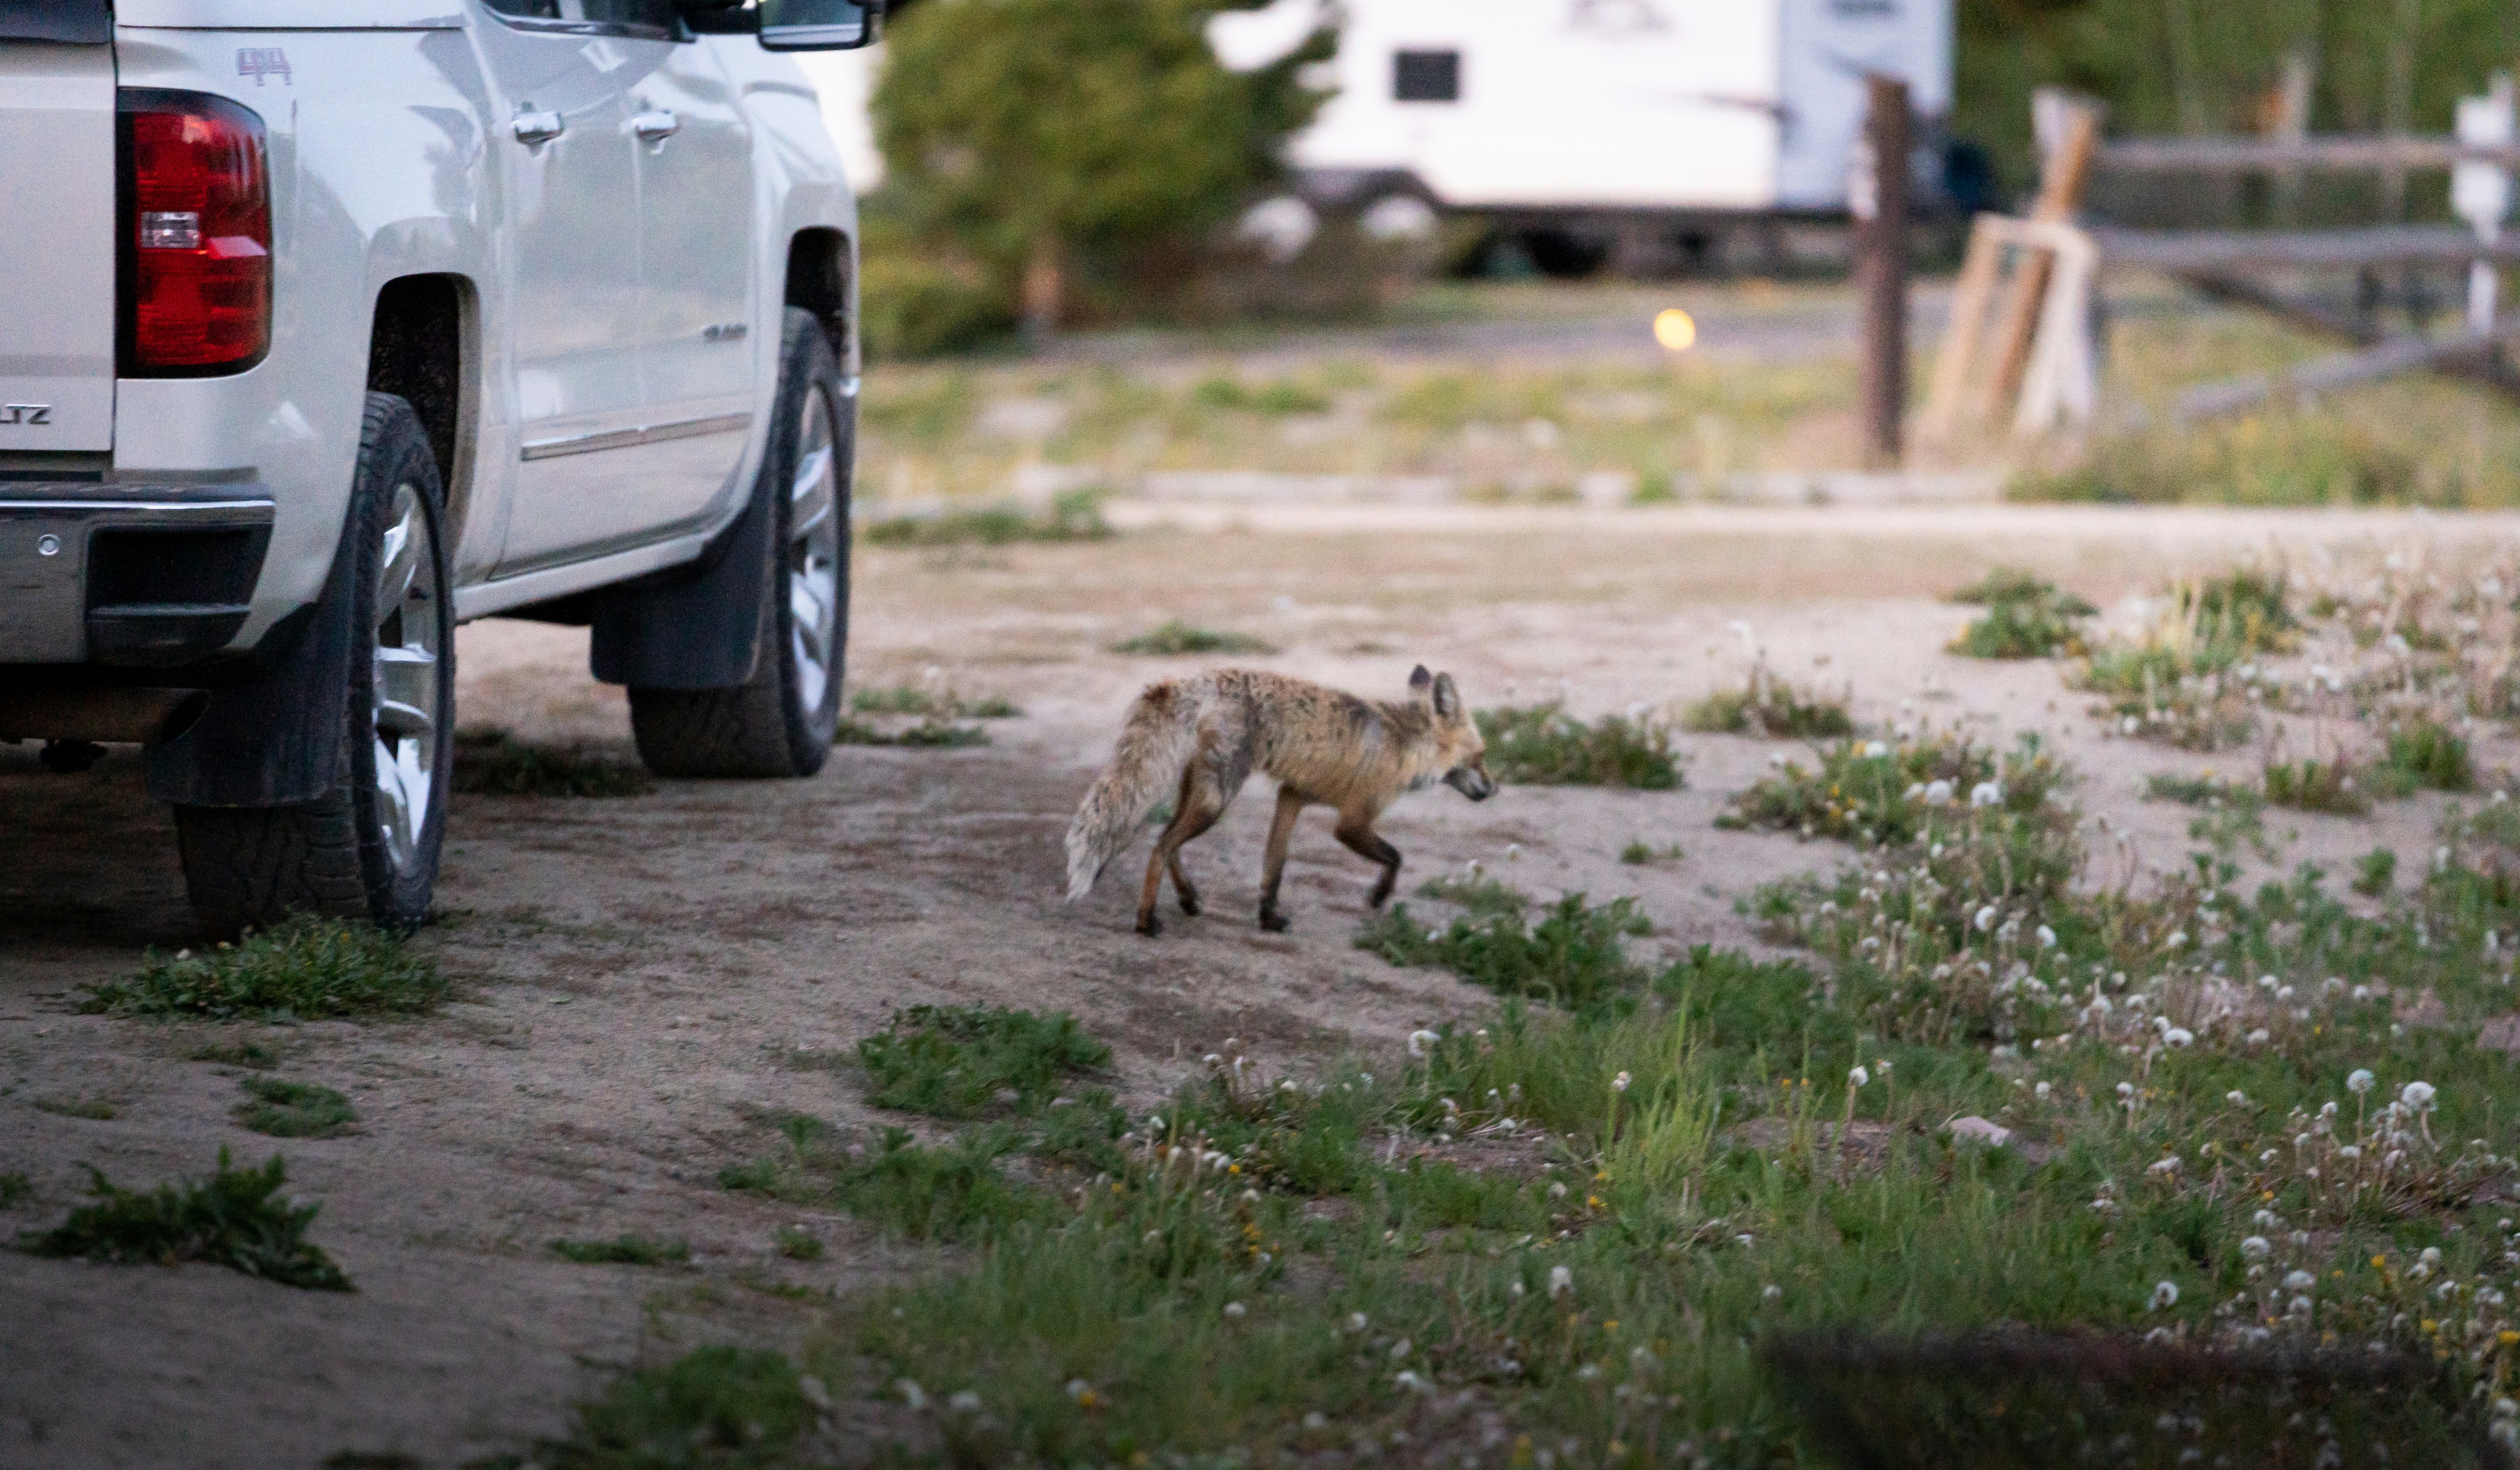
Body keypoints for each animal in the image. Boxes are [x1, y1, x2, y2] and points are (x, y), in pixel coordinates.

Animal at [1064, 665, 1497, 936]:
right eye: (1480, 756)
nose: (1495, 790)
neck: (1405, 744)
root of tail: (1202, 679)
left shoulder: (1292, 796)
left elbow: (1274, 868)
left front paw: (1269, 918)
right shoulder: (1353, 821)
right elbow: (1395, 857)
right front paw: (1379, 896)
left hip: (1202, 794)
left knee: (1165, 840)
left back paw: (1187, 899)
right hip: (1217, 800)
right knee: (1161, 846)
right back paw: (1145, 921)